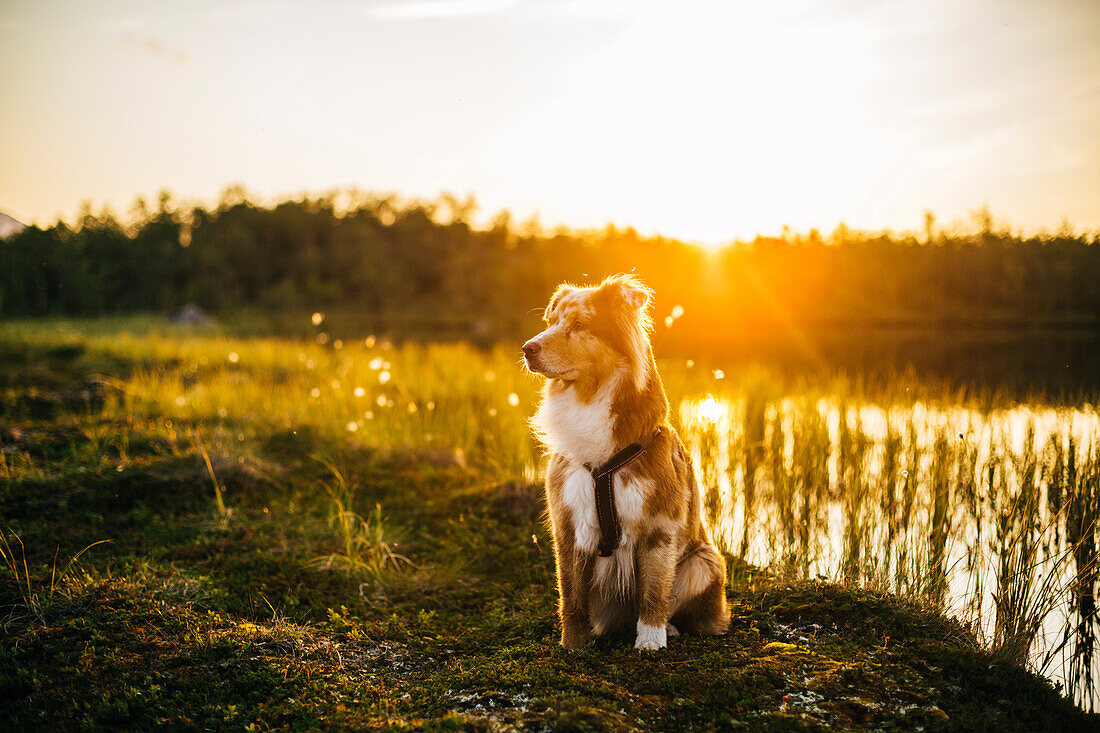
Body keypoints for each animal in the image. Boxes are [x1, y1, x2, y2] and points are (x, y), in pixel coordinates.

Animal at [523, 272, 730, 647]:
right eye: (551, 322)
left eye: (579, 325)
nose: (527, 348)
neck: (588, 400)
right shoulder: (568, 524)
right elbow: (571, 595)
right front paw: (572, 645)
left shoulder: (659, 525)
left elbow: (654, 590)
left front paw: (650, 642)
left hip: (704, 561)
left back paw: (671, 629)